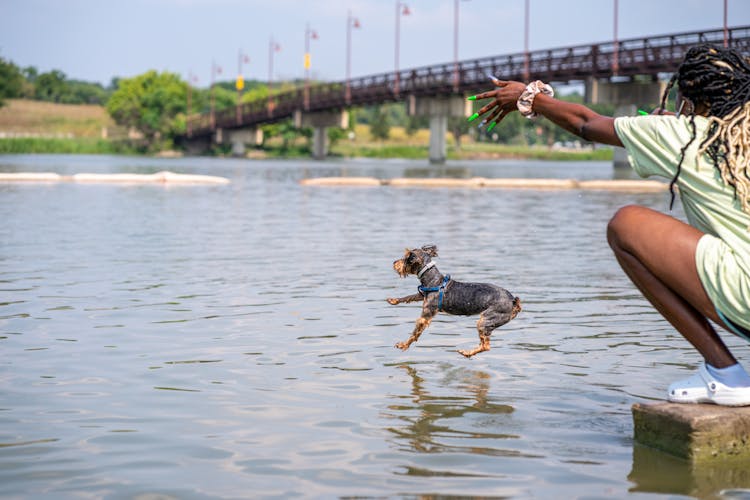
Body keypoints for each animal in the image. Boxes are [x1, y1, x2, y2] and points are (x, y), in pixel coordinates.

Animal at [388, 245, 524, 356]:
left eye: (406, 258)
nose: (394, 262)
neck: (434, 280)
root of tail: (513, 301)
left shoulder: (426, 315)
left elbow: (415, 333)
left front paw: (403, 345)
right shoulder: (423, 295)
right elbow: (409, 296)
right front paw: (393, 300)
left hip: (486, 320)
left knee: (486, 346)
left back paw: (466, 353)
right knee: (484, 344)